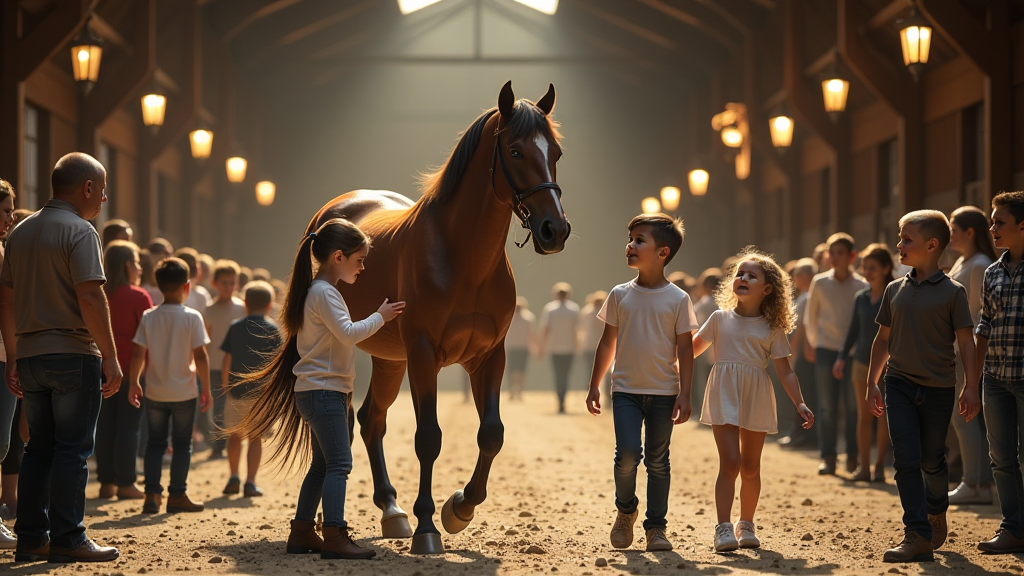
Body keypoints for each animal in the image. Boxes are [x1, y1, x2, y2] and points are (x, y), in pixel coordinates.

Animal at [303, 80, 573, 553]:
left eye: (554, 151)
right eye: (516, 151)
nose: (554, 230)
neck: (464, 258)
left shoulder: (490, 357)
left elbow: (492, 433)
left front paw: (459, 508)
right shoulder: (424, 355)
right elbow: (428, 438)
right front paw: (428, 527)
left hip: (389, 360)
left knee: (371, 420)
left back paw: (391, 510)